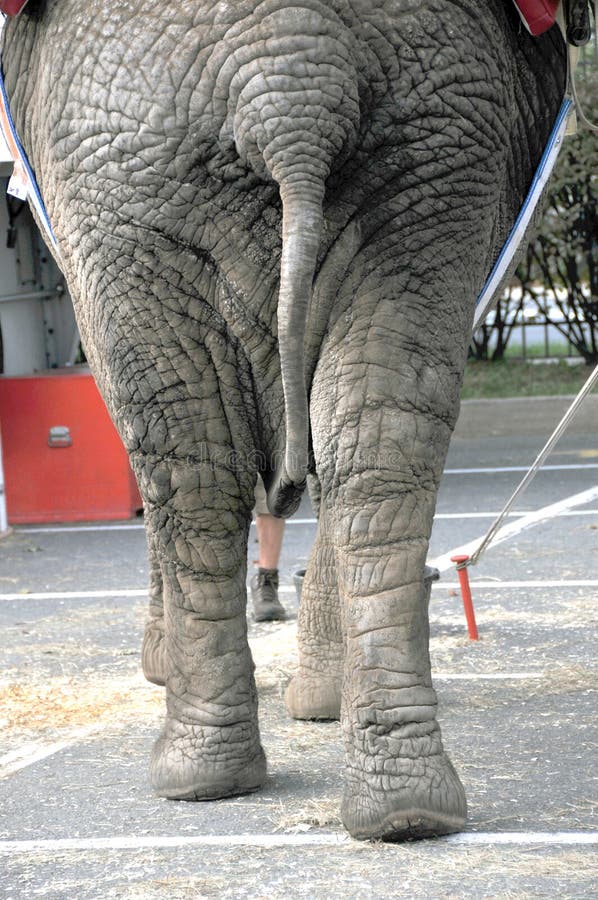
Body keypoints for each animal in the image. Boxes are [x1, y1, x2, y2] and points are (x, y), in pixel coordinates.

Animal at [2, 0, 567, 840]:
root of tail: (286, 85)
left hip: (132, 136)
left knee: (196, 452)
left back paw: (212, 769)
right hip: (427, 141)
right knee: (369, 427)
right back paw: (395, 806)